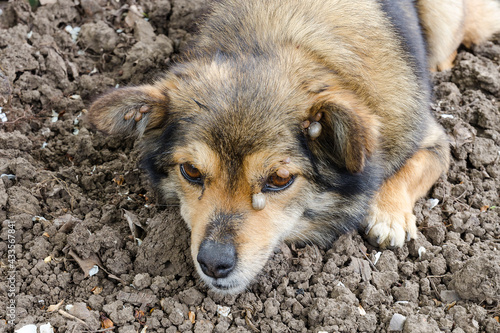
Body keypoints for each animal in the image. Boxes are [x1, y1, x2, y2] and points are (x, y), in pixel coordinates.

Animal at [88, 0, 500, 292]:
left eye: (279, 179)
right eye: (190, 171)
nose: (213, 263)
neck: (273, 42)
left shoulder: (433, 139)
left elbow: (412, 166)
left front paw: (388, 215)